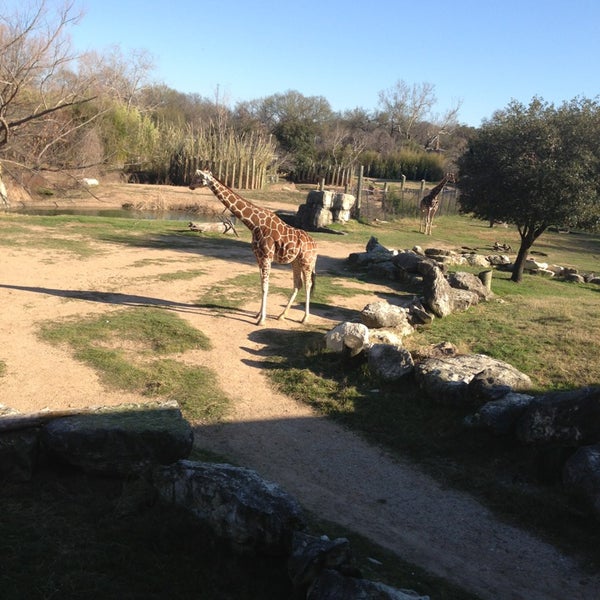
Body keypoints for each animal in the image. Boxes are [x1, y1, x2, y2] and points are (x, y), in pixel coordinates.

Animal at [191, 169, 318, 326]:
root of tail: (315, 246)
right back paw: (281, 315)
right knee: (298, 284)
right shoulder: (258, 257)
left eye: (199, 178)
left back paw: (305, 318)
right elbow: (261, 285)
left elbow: (265, 287)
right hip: (296, 262)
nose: (190, 186)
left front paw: (261, 320)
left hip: (307, 262)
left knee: (308, 284)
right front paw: (258, 315)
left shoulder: (266, 257)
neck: (254, 224)